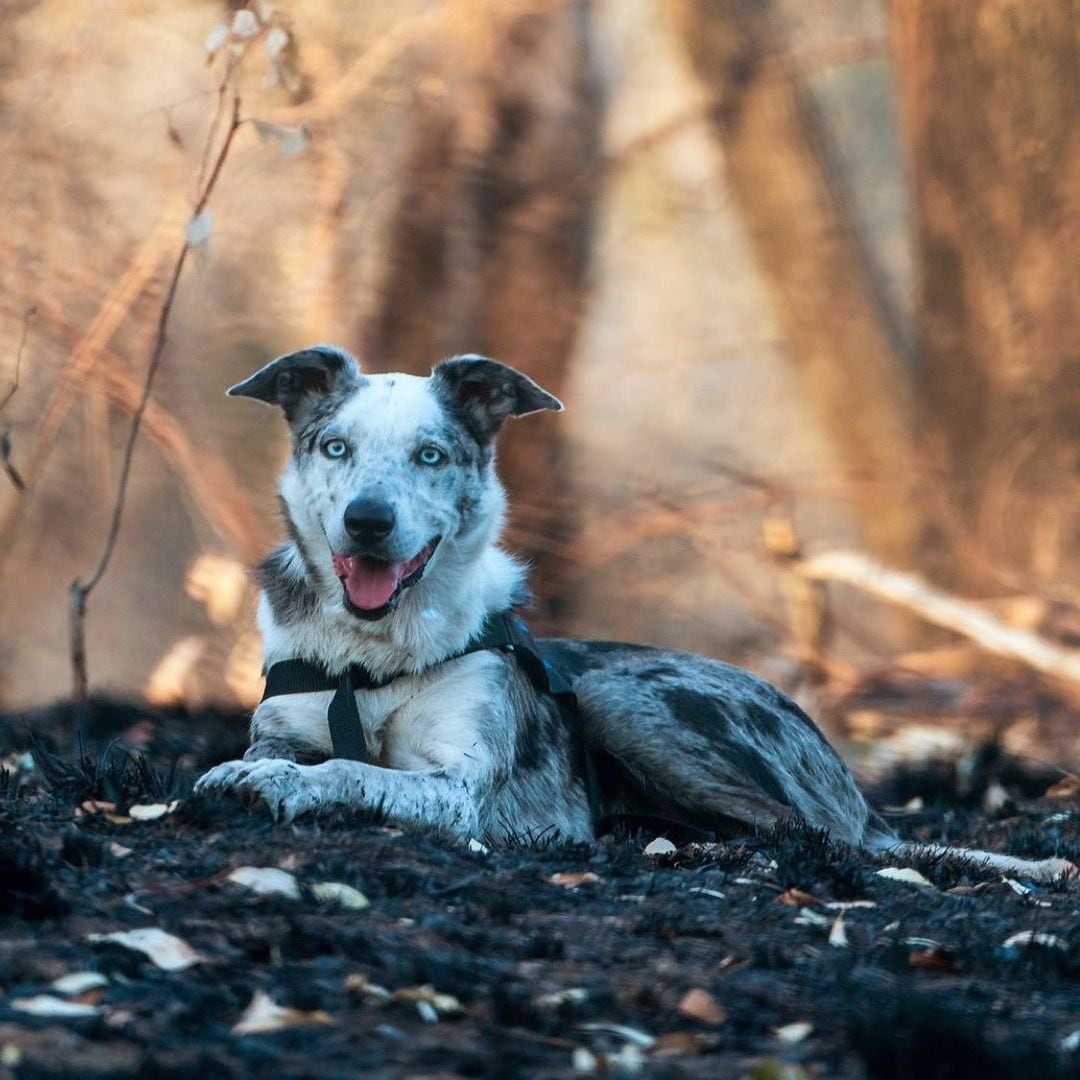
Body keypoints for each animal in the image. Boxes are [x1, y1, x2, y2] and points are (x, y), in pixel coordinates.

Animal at [198, 349, 1075, 881]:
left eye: (431, 454)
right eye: (335, 447)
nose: (369, 522)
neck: (373, 656)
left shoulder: (461, 788)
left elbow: (354, 770)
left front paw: (276, 783)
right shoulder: (289, 720)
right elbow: (303, 754)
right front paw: (262, 770)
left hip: (620, 700)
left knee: (821, 837)